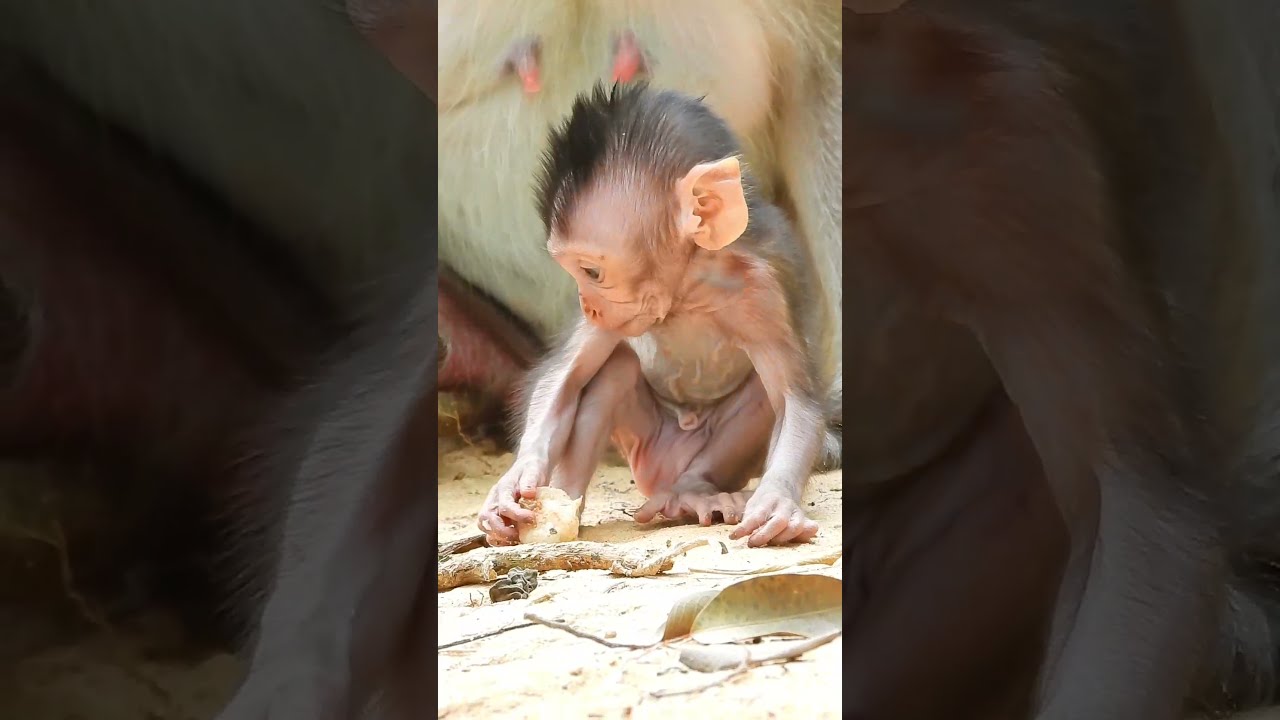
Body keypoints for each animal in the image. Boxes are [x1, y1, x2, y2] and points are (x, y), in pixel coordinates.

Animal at [477, 83, 838, 549]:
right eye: (574, 273)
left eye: (592, 272)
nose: (588, 305)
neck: (689, 288)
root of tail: (660, 475)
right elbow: (565, 376)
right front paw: (513, 483)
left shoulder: (768, 290)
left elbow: (796, 400)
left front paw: (777, 503)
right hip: (643, 450)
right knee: (613, 371)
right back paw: (567, 498)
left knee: (759, 394)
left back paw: (692, 491)